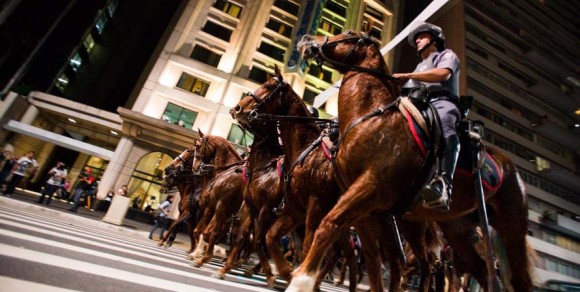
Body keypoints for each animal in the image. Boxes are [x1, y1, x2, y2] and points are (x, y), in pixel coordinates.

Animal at [292, 30, 532, 290]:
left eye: (348, 34)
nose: (306, 39)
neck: (371, 117)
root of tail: (511, 168)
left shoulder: (370, 187)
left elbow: (328, 226)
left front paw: (301, 280)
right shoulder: (364, 205)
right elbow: (372, 260)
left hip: (511, 228)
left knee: (517, 279)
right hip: (455, 228)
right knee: (479, 269)